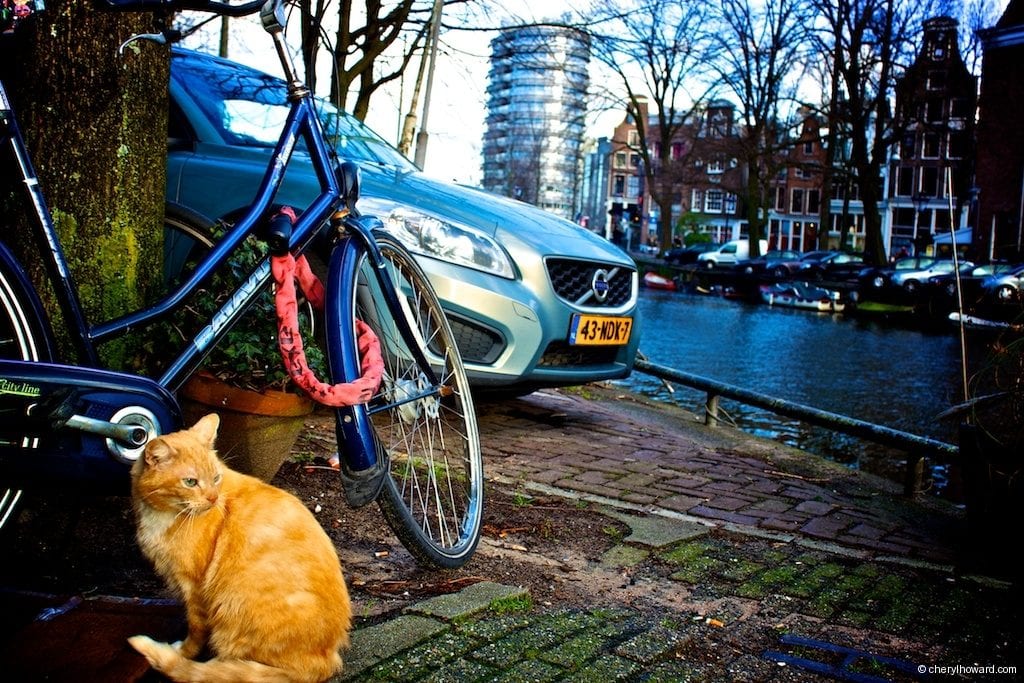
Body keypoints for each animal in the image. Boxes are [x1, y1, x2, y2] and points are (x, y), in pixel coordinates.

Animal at [126, 413, 352, 679]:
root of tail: (327, 661)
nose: (213, 499)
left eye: (215, 478)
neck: (163, 516)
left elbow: (196, 629)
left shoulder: (194, 587)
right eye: (190, 482)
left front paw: (183, 653)